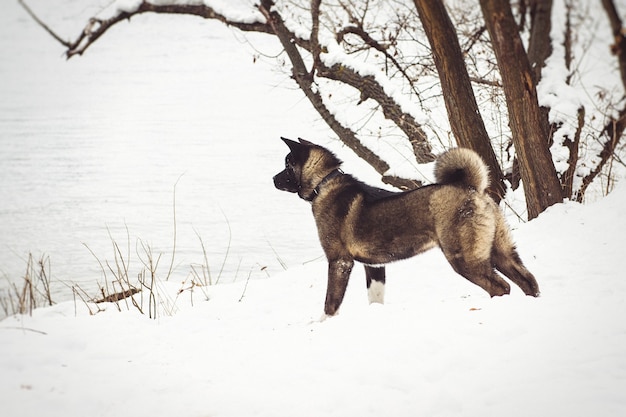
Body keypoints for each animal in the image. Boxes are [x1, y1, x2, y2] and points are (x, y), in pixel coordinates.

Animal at [272, 137, 536, 316]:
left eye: (287, 164)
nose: (273, 179)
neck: (323, 183)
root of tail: (470, 188)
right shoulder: (374, 266)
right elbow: (375, 298)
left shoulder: (339, 261)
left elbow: (331, 303)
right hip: (501, 252)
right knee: (528, 281)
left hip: (465, 259)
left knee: (500, 287)